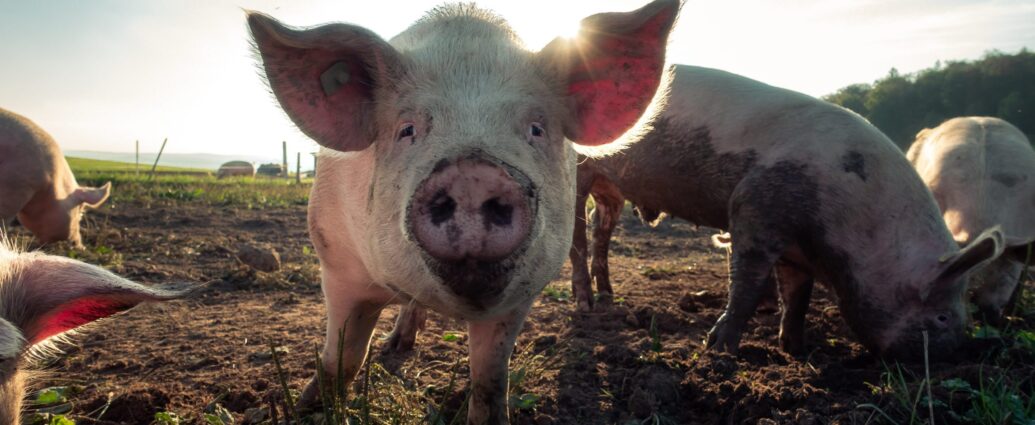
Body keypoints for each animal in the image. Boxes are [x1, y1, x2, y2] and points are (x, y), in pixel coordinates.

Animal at [247, 1, 680, 423]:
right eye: (407, 129)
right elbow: (342, 358)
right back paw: (396, 346)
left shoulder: (521, 295)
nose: (473, 174)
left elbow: (490, 379)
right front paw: (305, 409)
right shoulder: (337, 263)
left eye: (536, 129)